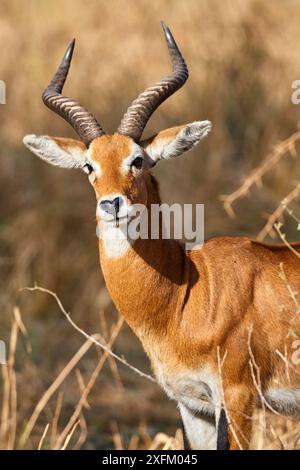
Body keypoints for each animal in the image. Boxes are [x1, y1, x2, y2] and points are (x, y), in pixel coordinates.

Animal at [23, 23, 300, 450]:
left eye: (137, 159)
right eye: (89, 165)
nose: (111, 204)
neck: (187, 293)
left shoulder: (238, 398)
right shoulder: (193, 405)